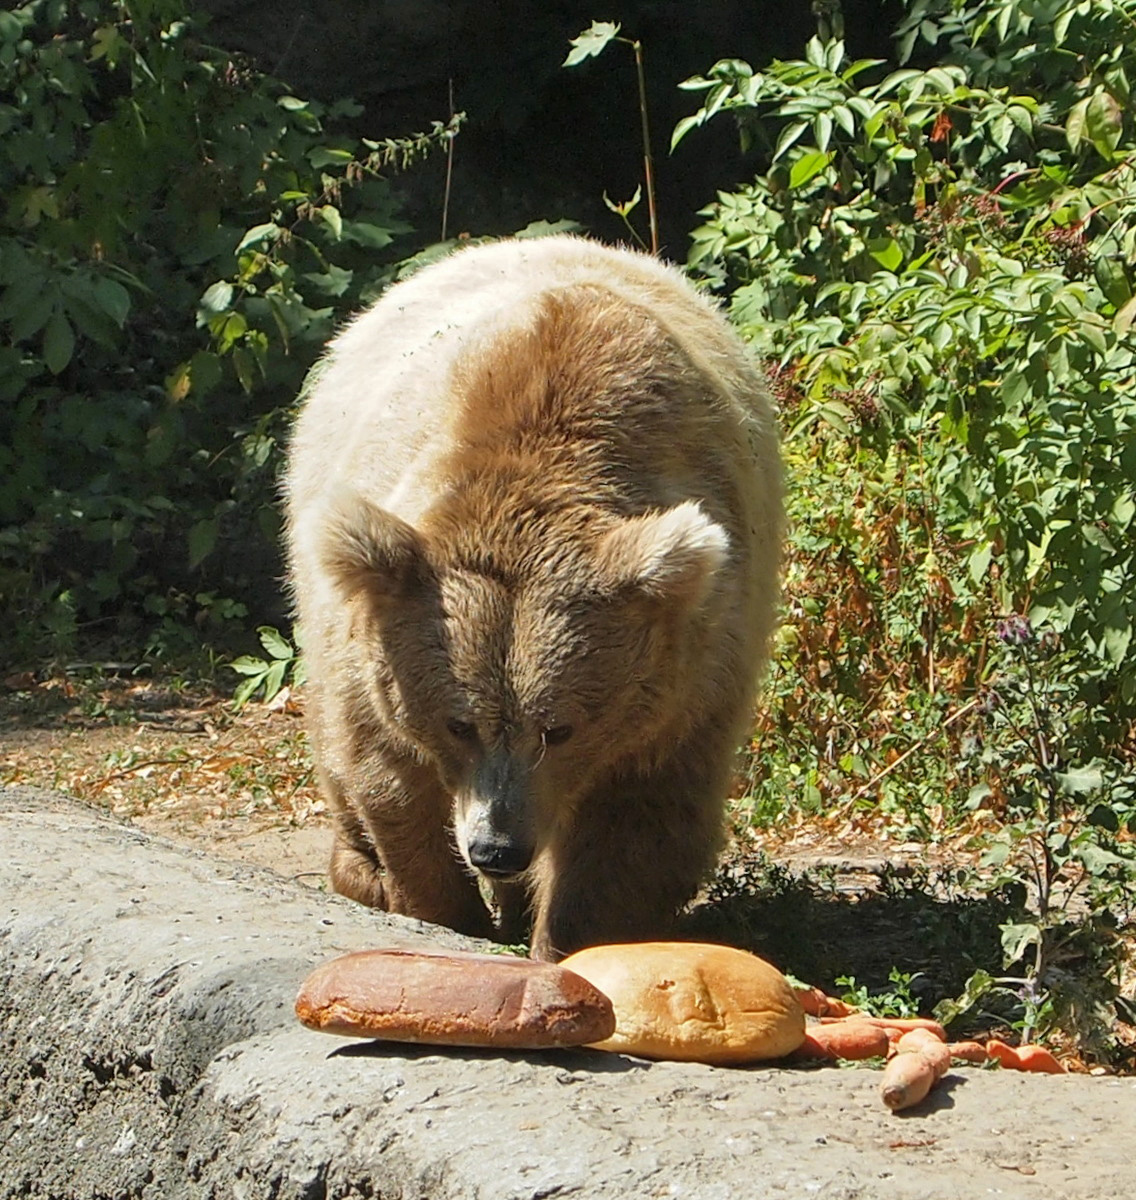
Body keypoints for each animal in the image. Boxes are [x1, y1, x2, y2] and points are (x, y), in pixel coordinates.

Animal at [284, 238, 782, 960]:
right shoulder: (379, 636)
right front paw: (443, 911)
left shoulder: (695, 673)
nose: (497, 848)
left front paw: (569, 944)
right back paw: (361, 868)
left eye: (560, 727)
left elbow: (639, 823)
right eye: (458, 722)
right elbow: (391, 776)